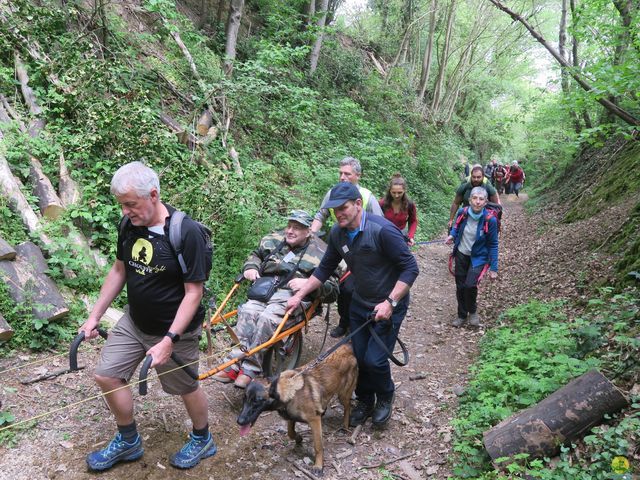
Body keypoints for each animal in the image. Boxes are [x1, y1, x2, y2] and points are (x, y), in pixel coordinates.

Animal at [236, 344, 358, 474]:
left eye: (257, 401)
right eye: (244, 399)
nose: (239, 421)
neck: (287, 390)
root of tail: (347, 346)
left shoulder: (314, 421)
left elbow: (318, 446)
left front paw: (318, 465)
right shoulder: (291, 417)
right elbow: (290, 433)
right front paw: (298, 438)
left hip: (343, 394)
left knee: (348, 407)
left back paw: (345, 426)